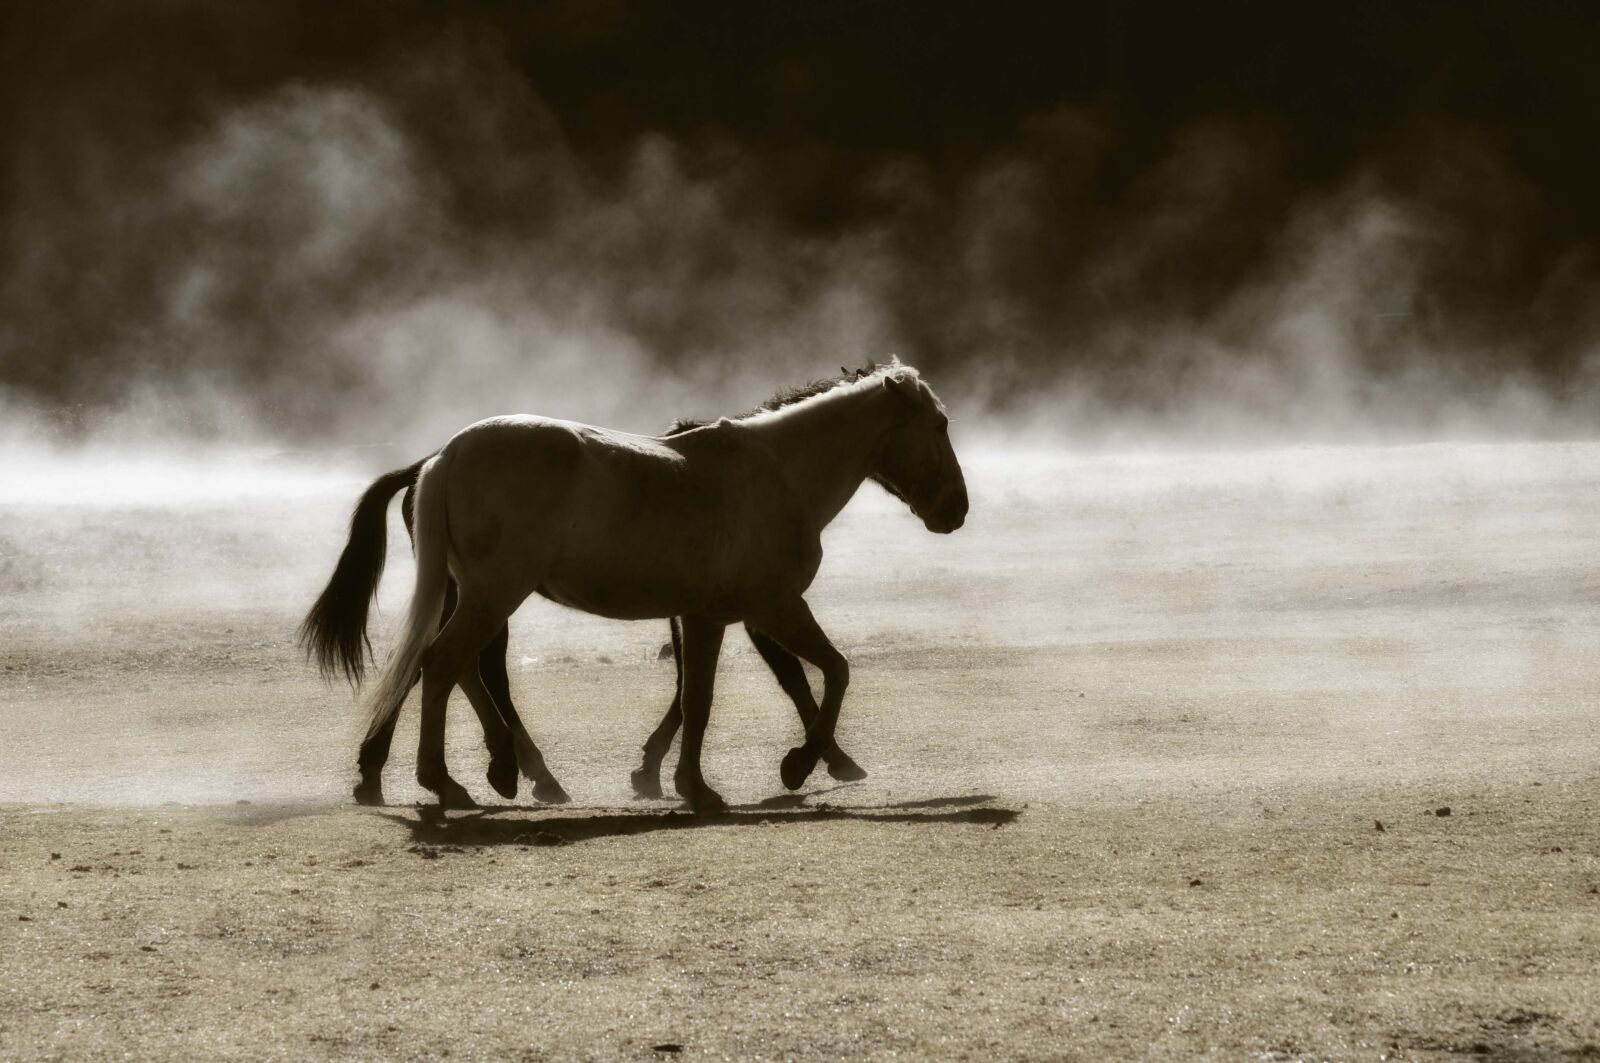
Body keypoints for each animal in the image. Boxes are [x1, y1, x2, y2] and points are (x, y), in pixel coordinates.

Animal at [302, 361, 966, 811]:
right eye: (939, 424)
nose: (956, 510)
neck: (778, 474)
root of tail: (446, 456)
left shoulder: (714, 616)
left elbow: (707, 697)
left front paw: (691, 783)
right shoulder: (770, 608)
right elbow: (827, 674)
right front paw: (796, 766)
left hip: (473, 596)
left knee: (452, 667)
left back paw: (490, 771)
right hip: (492, 596)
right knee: (444, 666)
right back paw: (448, 781)